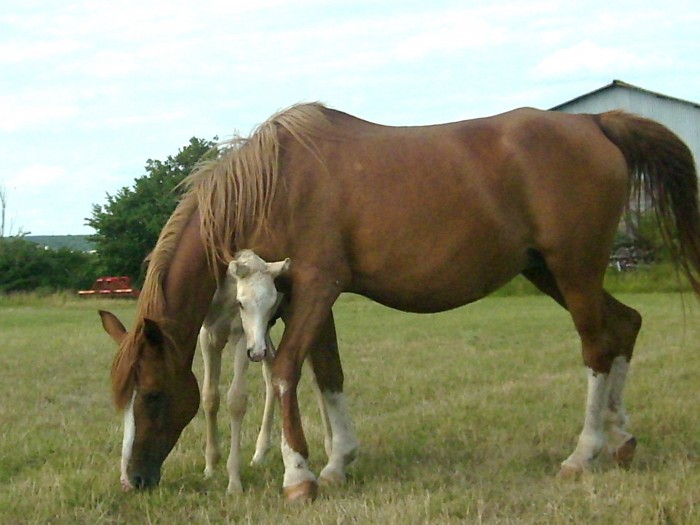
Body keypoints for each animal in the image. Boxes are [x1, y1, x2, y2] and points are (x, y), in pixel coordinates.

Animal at [197, 250, 334, 493]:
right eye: (241, 303)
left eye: (271, 303)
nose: (256, 353)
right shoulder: (208, 336)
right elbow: (210, 397)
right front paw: (210, 467)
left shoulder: (242, 338)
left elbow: (236, 400)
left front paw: (234, 482)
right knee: (271, 372)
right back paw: (260, 453)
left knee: (315, 379)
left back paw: (330, 449)